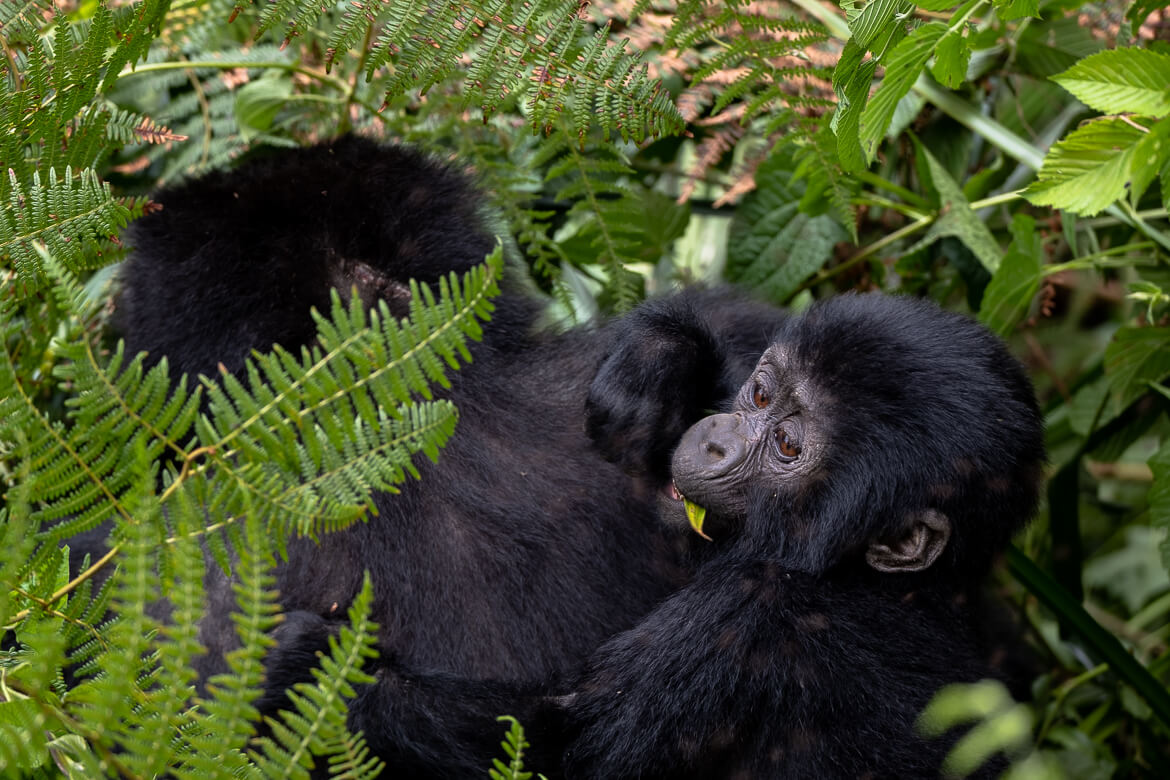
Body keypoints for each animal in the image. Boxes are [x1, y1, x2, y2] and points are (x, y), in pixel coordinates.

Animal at [278, 294, 1048, 780]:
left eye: (789, 446)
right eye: (760, 394)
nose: (714, 441)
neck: (876, 580)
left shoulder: (748, 615)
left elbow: (560, 749)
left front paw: (305, 667)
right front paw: (659, 361)